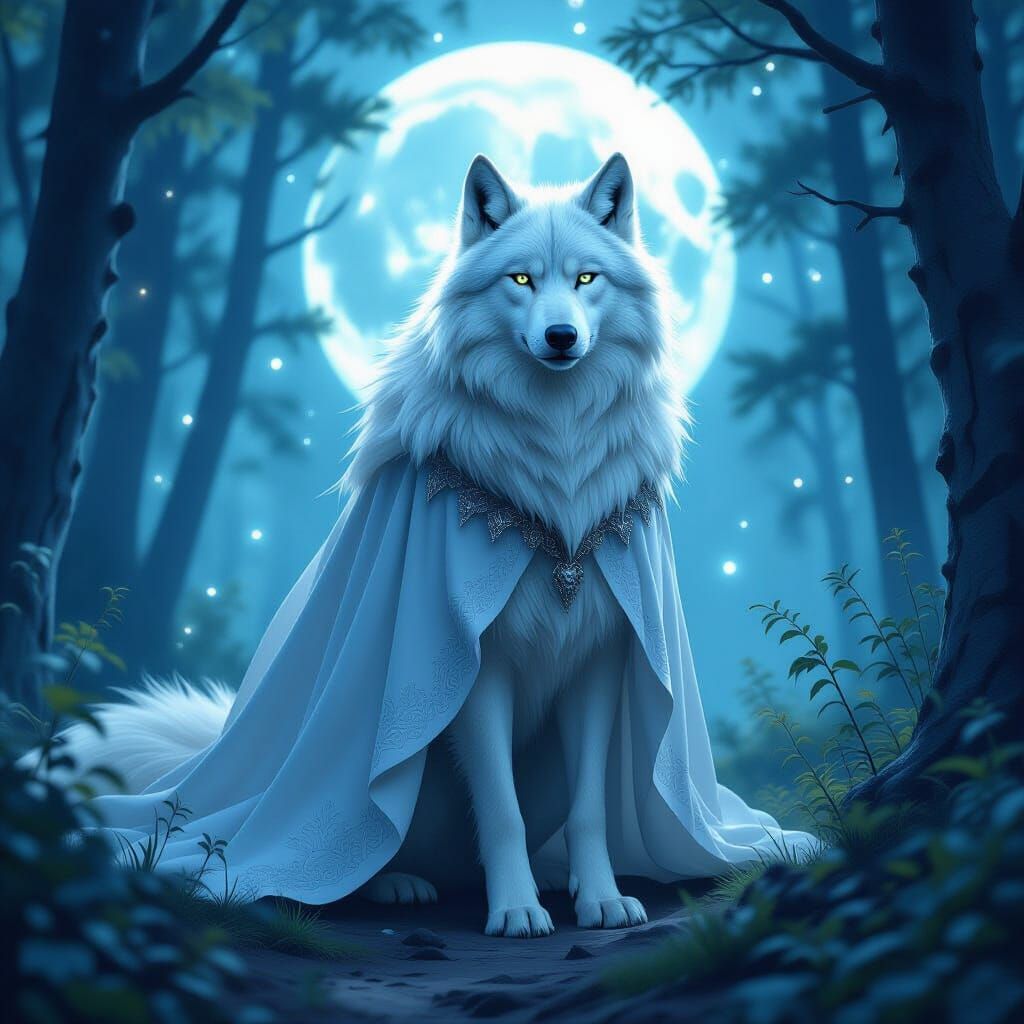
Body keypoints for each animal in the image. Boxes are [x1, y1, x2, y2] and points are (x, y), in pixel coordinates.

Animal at [56, 154, 800, 939]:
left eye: (587, 279)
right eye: (522, 279)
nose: (561, 337)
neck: (557, 460)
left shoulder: (600, 656)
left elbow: (591, 806)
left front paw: (599, 900)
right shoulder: (472, 659)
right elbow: (499, 810)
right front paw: (516, 910)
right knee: (375, 846)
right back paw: (396, 884)